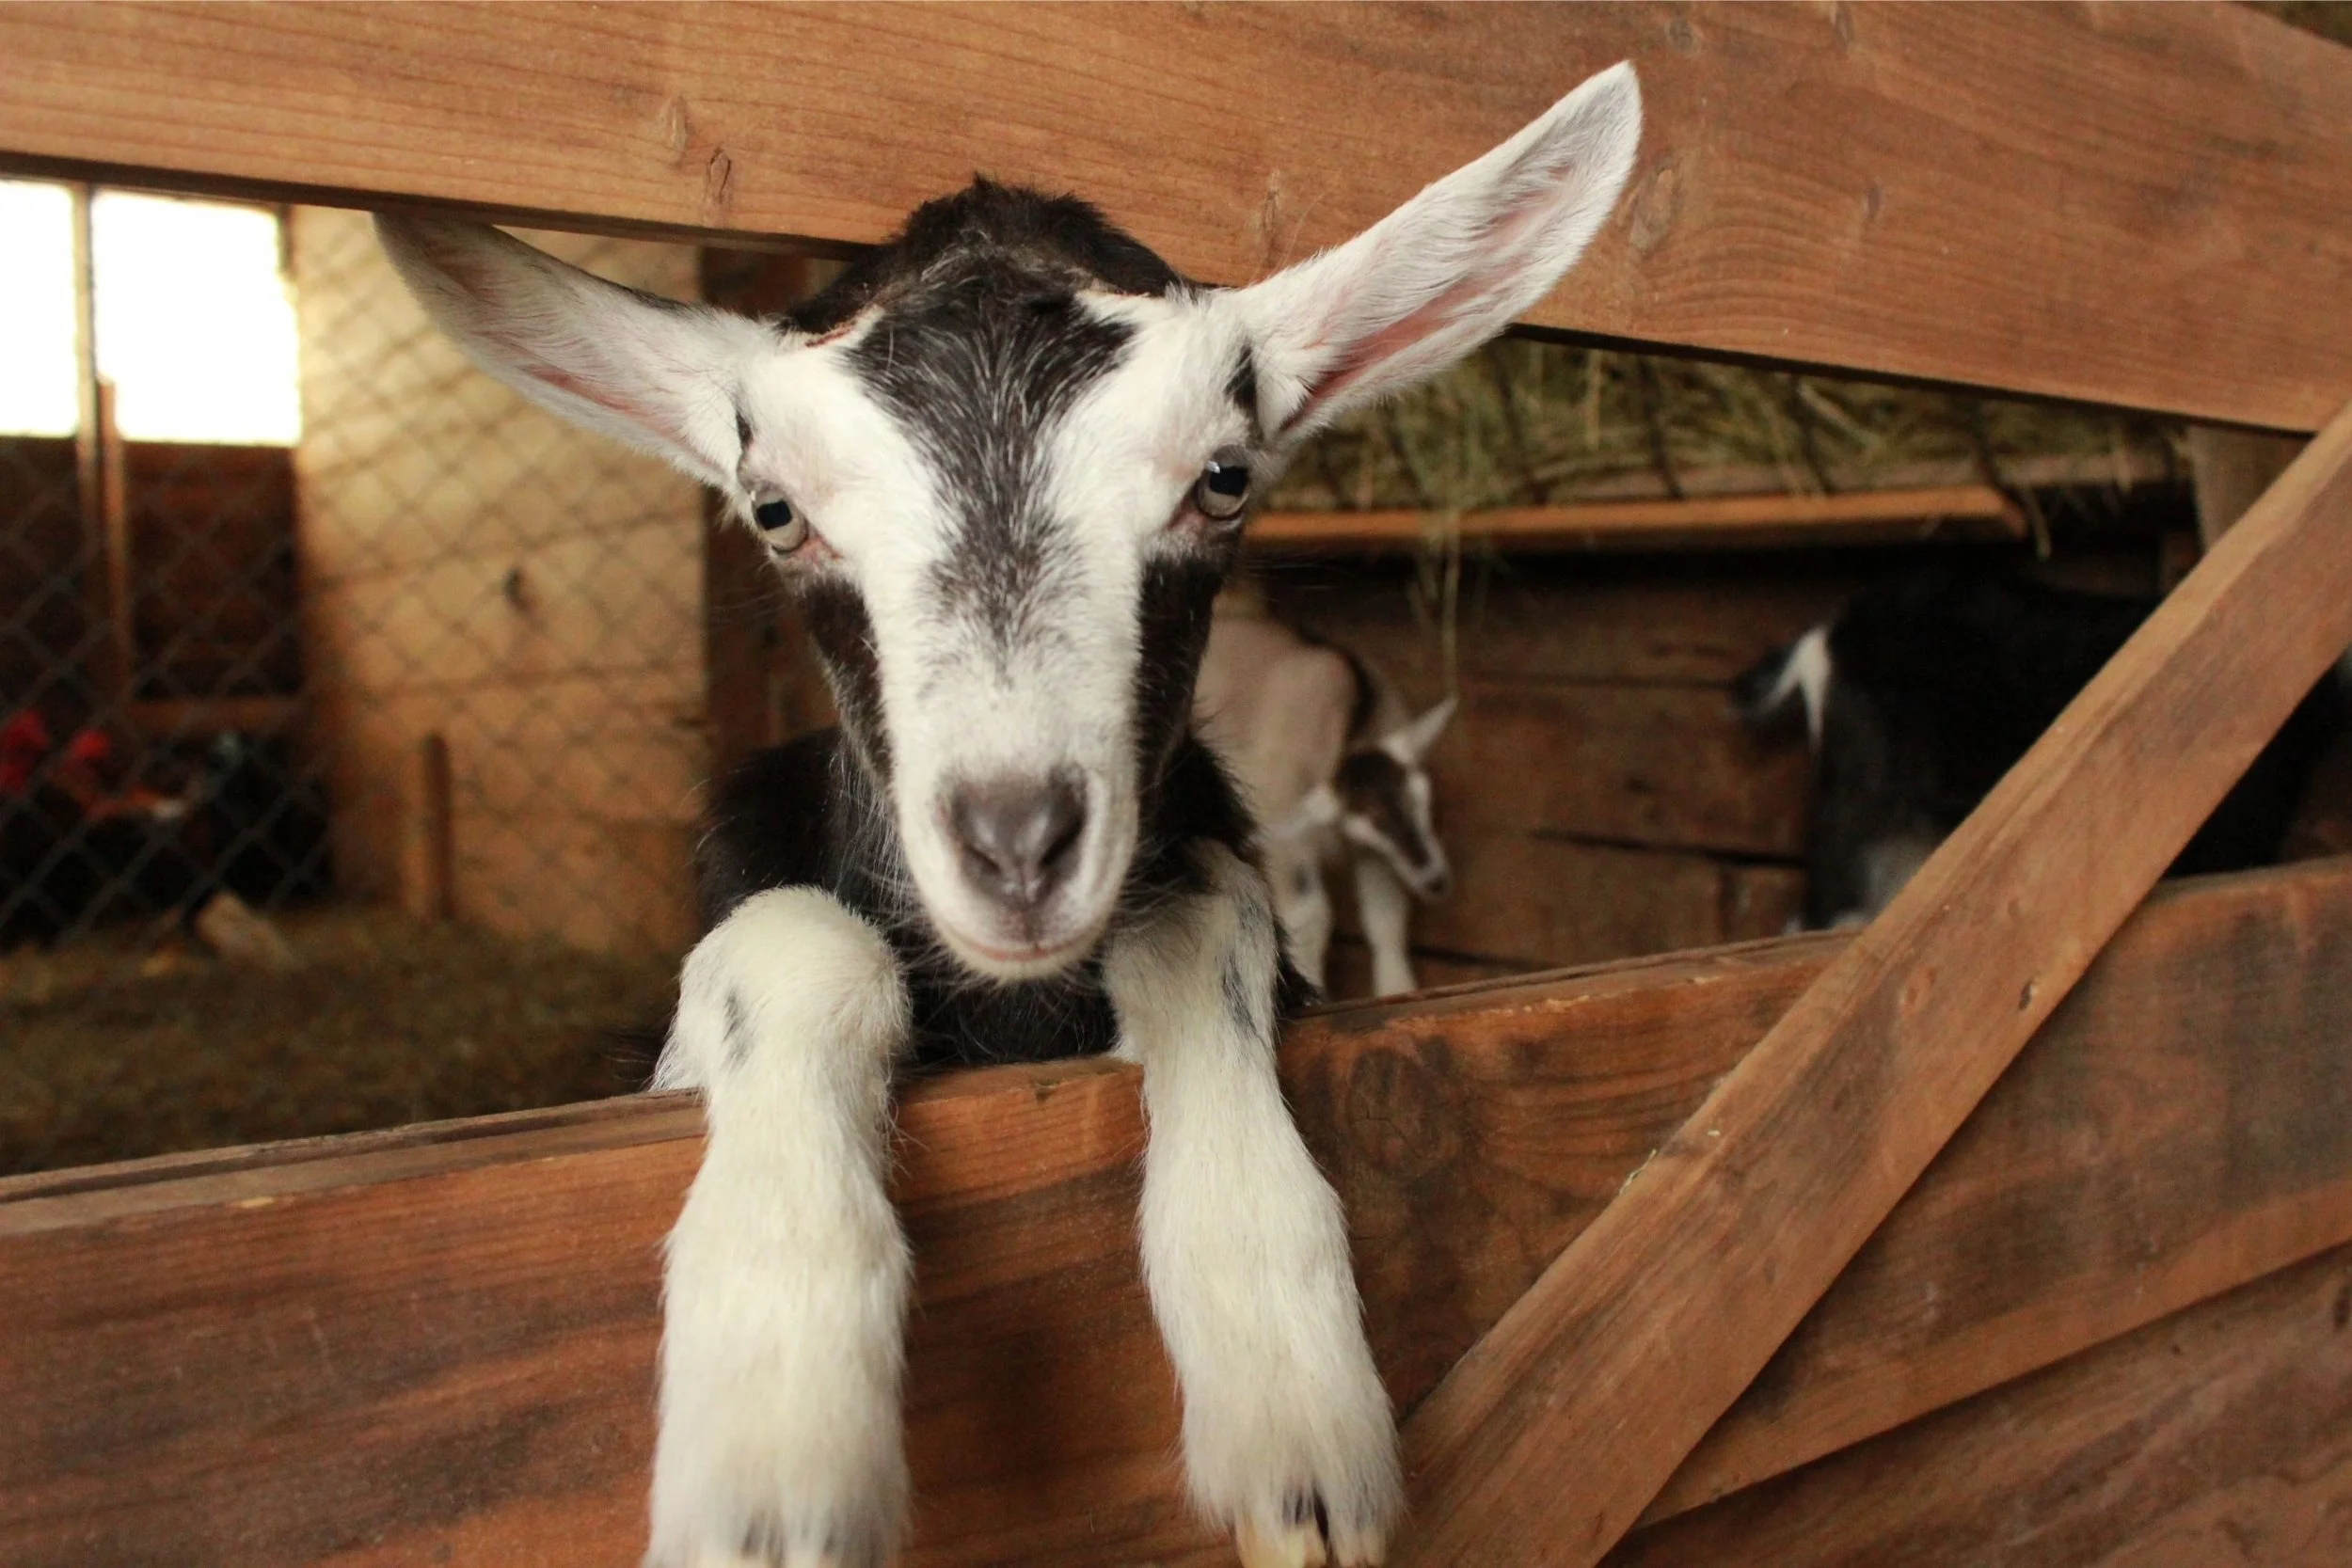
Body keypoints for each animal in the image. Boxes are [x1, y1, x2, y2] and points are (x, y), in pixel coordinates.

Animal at [1194, 598, 1453, 998]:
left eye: (1423, 800)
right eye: (1375, 816)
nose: (1435, 880)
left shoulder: (1371, 850)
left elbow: (1385, 914)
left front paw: (1397, 987)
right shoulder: (1284, 829)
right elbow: (1311, 915)